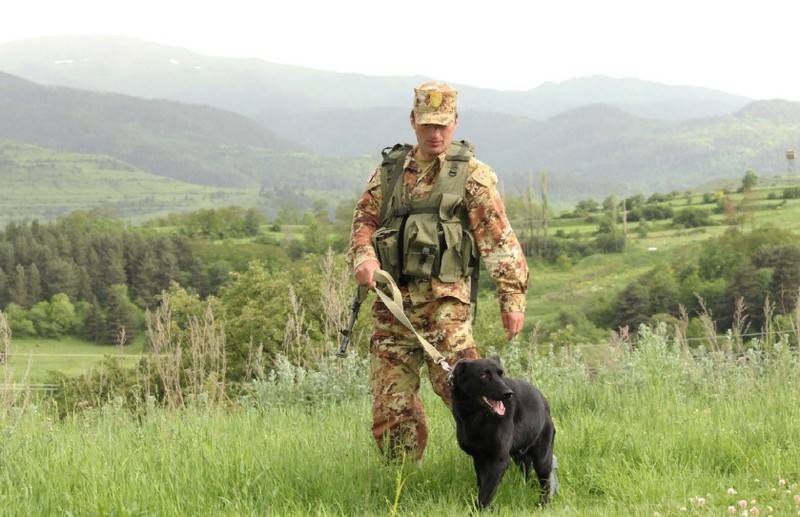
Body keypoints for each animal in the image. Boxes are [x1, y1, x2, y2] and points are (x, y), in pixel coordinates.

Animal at [450, 354, 556, 508]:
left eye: (501, 374)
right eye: (483, 375)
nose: (508, 393)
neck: (476, 416)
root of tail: (544, 402)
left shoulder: (499, 460)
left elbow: (486, 491)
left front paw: (478, 509)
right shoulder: (479, 458)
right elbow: (483, 486)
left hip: (542, 458)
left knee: (545, 484)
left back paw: (543, 504)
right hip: (520, 456)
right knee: (527, 473)